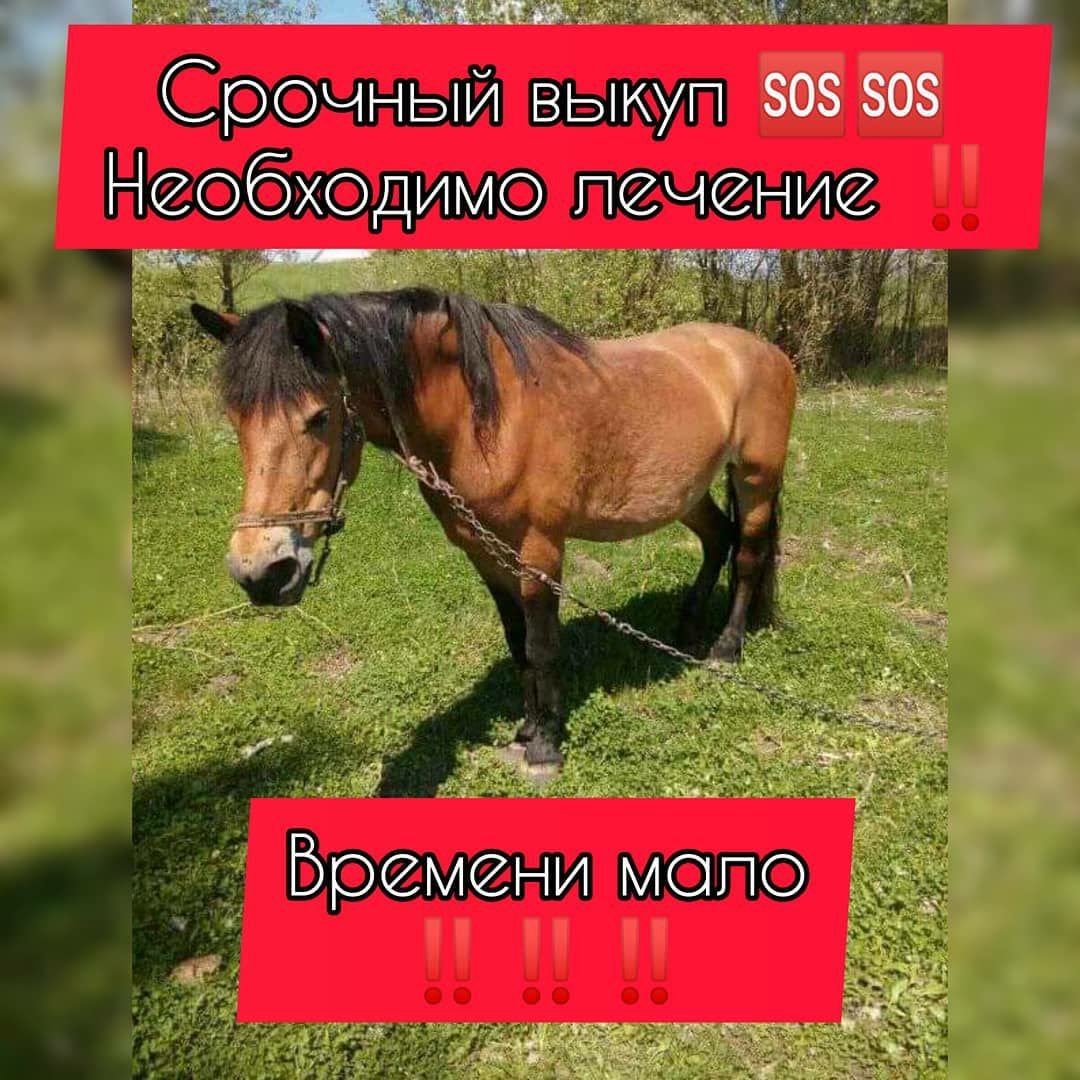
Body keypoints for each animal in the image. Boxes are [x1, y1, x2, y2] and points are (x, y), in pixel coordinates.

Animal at [191, 287, 796, 773]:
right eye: (237, 421)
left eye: (319, 417)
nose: (261, 572)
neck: (485, 418)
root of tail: (765, 351)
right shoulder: (484, 551)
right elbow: (516, 639)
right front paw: (526, 728)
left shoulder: (539, 550)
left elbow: (543, 642)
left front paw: (546, 747)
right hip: (685, 490)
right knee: (717, 538)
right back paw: (687, 627)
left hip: (756, 478)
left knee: (747, 554)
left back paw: (725, 649)